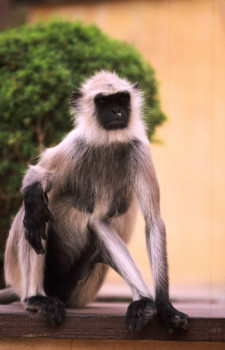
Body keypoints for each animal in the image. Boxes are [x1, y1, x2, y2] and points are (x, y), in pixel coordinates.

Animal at [1, 70, 188, 330]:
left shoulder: (140, 150)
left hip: (82, 289)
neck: (109, 143)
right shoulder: (76, 144)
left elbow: (153, 222)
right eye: (103, 102)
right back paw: (36, 298)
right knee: (33, 213)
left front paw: (164, 306)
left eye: (121, 99)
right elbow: (36, 176)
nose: (117, 111)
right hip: (18, 273)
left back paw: (143, 303)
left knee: (97, 224)